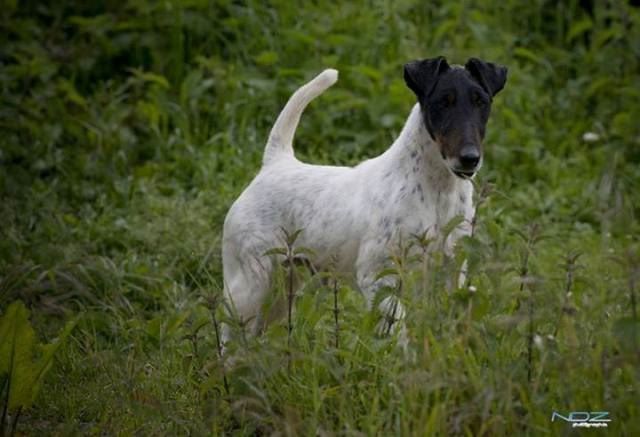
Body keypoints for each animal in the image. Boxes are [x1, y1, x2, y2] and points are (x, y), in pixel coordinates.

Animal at [222, 56, 508, 342]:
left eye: (481, 102)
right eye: (442, 102)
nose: (470, 158)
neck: (435, 191)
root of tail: (274, 164)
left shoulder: (452, 270)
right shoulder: (377, 276)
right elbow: (397, 330)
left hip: (285, 286)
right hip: (250, 283)